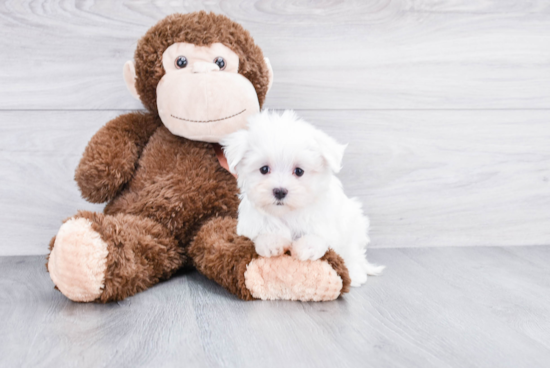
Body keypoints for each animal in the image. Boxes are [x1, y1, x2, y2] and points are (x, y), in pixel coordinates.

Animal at [220, 110, 384, 286]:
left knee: (353, 253)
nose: (279, 191)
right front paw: (271, 242)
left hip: (354, 226)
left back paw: (355, 274)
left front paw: (306, 247)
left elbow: (319, 236)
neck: (287, 213)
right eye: (264, 169)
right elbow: (265, 231)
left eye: (299, 171)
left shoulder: (324, 223)